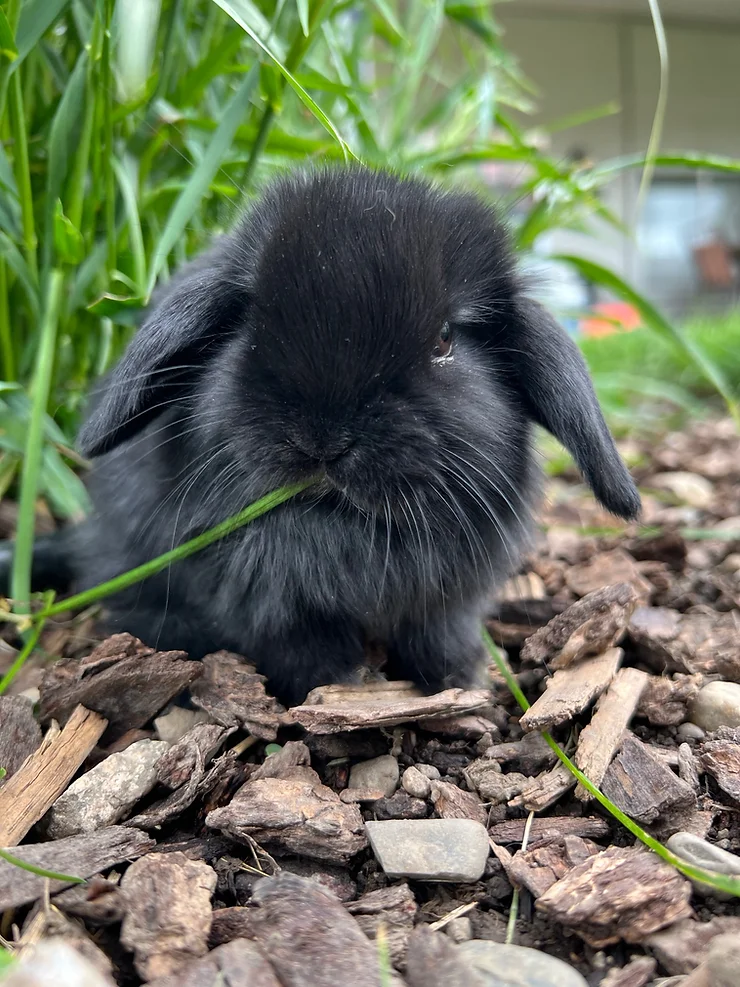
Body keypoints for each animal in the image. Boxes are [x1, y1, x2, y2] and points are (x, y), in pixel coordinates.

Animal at [4, 166, 636, 708]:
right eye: (251, 326)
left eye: (444, 339)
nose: (323, 438)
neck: (341, 531)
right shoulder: (267, 604)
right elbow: (300, 647)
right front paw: (339, 684)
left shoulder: (450, 597)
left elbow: (440, 635)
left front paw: (459, 682)